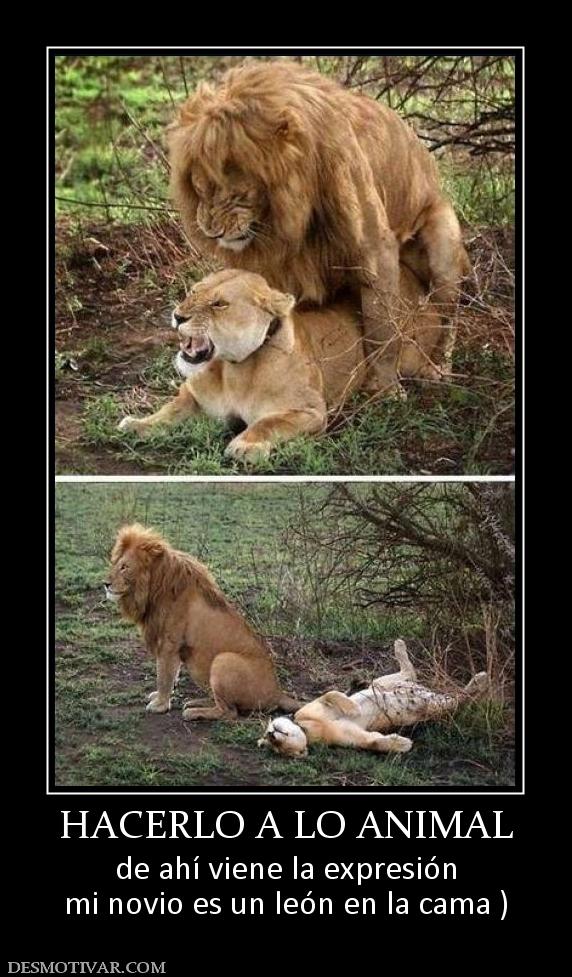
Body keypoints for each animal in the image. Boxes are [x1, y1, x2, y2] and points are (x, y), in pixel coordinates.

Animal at [105, 524, 299, 720]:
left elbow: (163, 675)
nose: (105, 583)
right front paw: (161, 697)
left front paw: (160, 704)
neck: (153, 588)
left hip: (223, 660)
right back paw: (195, 702)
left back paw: (193, 712)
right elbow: (172, 674)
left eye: (124, 567)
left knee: (229, 712)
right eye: (116, 564)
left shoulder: (169, 642)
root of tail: (278, 693)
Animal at [118, 260, 444, 461]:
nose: (178, 316)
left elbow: (268, 422)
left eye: (219, 303)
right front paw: (137, 424)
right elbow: (168, 412)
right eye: (193, 291)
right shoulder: (194, 396)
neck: (235, 369)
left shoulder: (311, 411)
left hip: (407, 351)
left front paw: (245, 445)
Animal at [168, 60, 469, 397]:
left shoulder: (375, 251)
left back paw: (440, 370)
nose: (210, 232)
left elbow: (382, 329)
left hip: (444, 252)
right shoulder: (276, 267)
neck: (288, 220)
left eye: (235, 194)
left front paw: (386, 389)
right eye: (199, 188)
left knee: (449, 318)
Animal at [258, 640, 489, 758]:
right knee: (458, 700)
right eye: (278, 748)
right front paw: (401, 744)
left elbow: (331, 694)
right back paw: (479, 681)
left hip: (380, 683)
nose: (271, 735)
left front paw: (352, 707)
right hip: (433, 706)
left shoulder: (315, 704)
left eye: (269, 735)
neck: (308, 728)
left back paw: (399, 645)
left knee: (409, 673)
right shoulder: (355, 738)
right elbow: (375, 742)